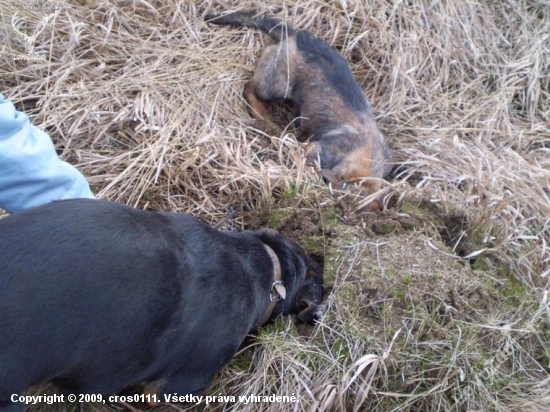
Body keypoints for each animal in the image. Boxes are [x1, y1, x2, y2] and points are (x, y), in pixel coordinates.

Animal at [206, 10, 392, 209]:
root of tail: (293, 35)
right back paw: (262, 116)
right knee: (249, 88)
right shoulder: (315, 151)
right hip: (276, 85)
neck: (368, 157)